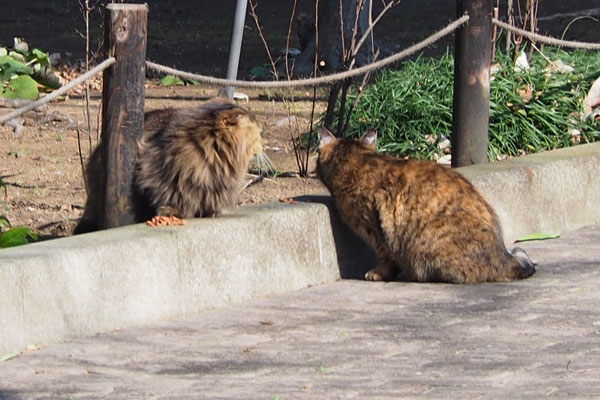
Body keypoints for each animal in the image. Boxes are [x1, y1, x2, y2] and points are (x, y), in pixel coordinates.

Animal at [74, 97, 264, 234]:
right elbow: (173, 191)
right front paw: (172, 210)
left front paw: (211, 210)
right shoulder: (161, 169)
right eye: (258, 133)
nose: (263, 144)